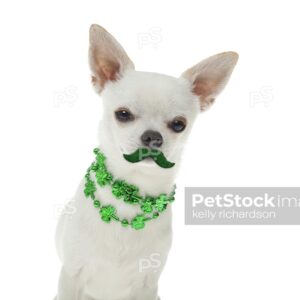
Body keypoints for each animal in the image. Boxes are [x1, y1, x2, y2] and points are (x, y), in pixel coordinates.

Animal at [55, 24, 239, 300]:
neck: (132, 190)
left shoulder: (147, 284)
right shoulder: (71, 275)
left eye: (179, 124)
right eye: (122, 114)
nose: (153, 136)